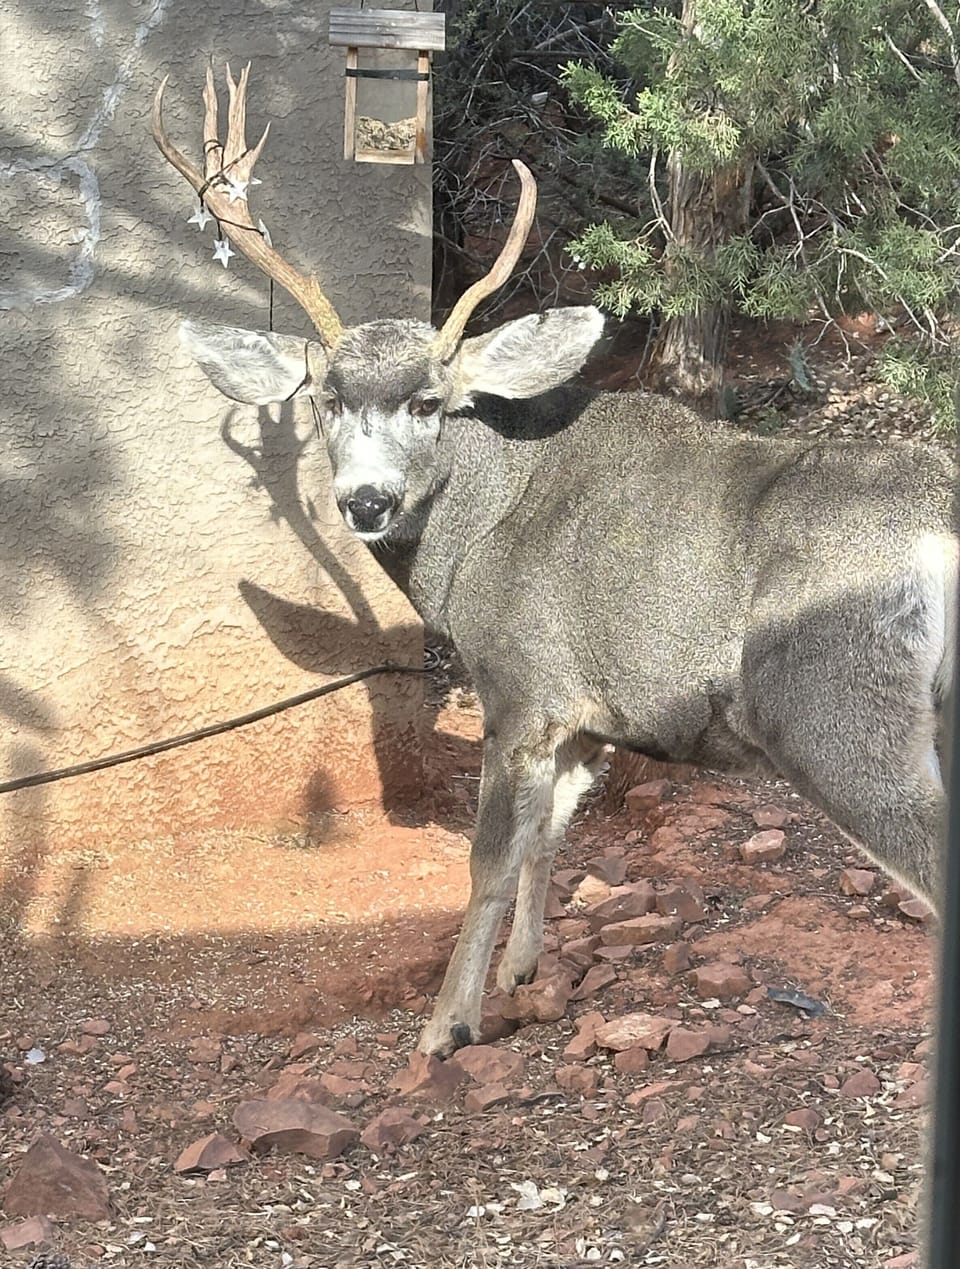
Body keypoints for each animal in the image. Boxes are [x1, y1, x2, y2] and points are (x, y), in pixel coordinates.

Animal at [154, 64, 956, 1058]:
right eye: (326, 399)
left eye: (428, 401)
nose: (366, 501)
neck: (482, 527)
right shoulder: (588, 714)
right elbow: (551, 836)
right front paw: (522, 970)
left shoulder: (522, 686)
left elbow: (489, 857)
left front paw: (447, 1022)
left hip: (839, 711)